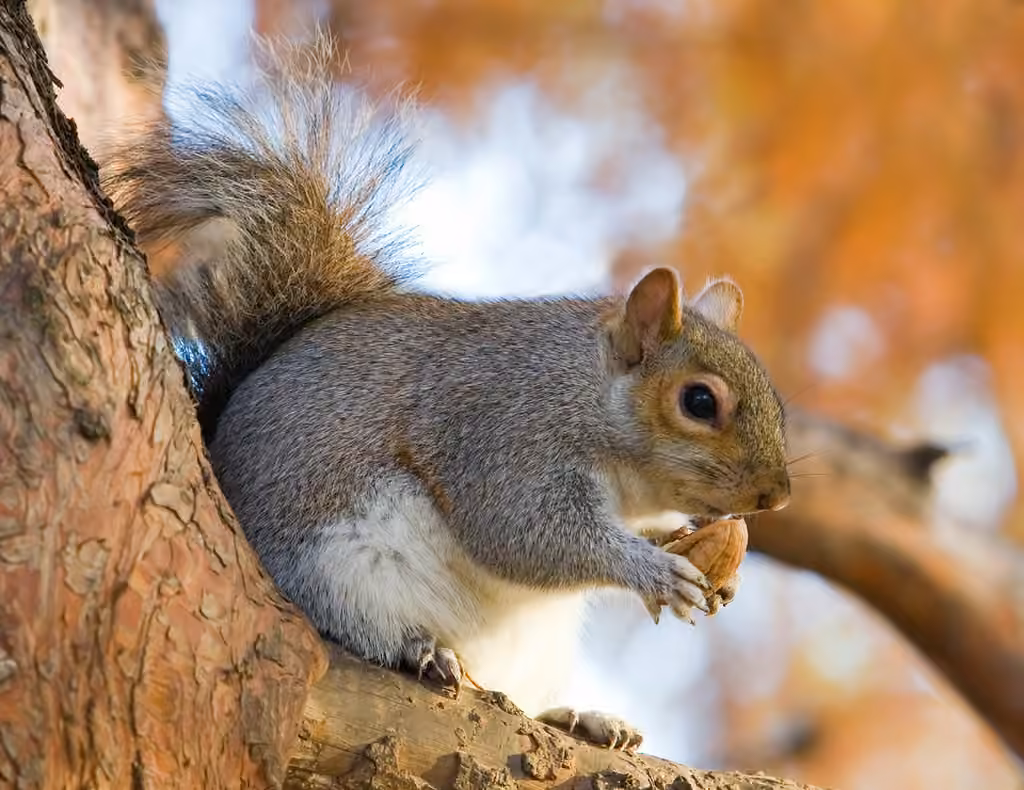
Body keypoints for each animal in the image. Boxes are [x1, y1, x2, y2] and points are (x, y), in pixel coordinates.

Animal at [102, 35, 790, 750]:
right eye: (700, 402)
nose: (776, 495)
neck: (585, 396)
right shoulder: (503, 435)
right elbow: (524, 532)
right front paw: (652, 570)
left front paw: (698, 550)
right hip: (334, 569)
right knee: (354, 625)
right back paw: (418, 649)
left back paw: (579, 717)